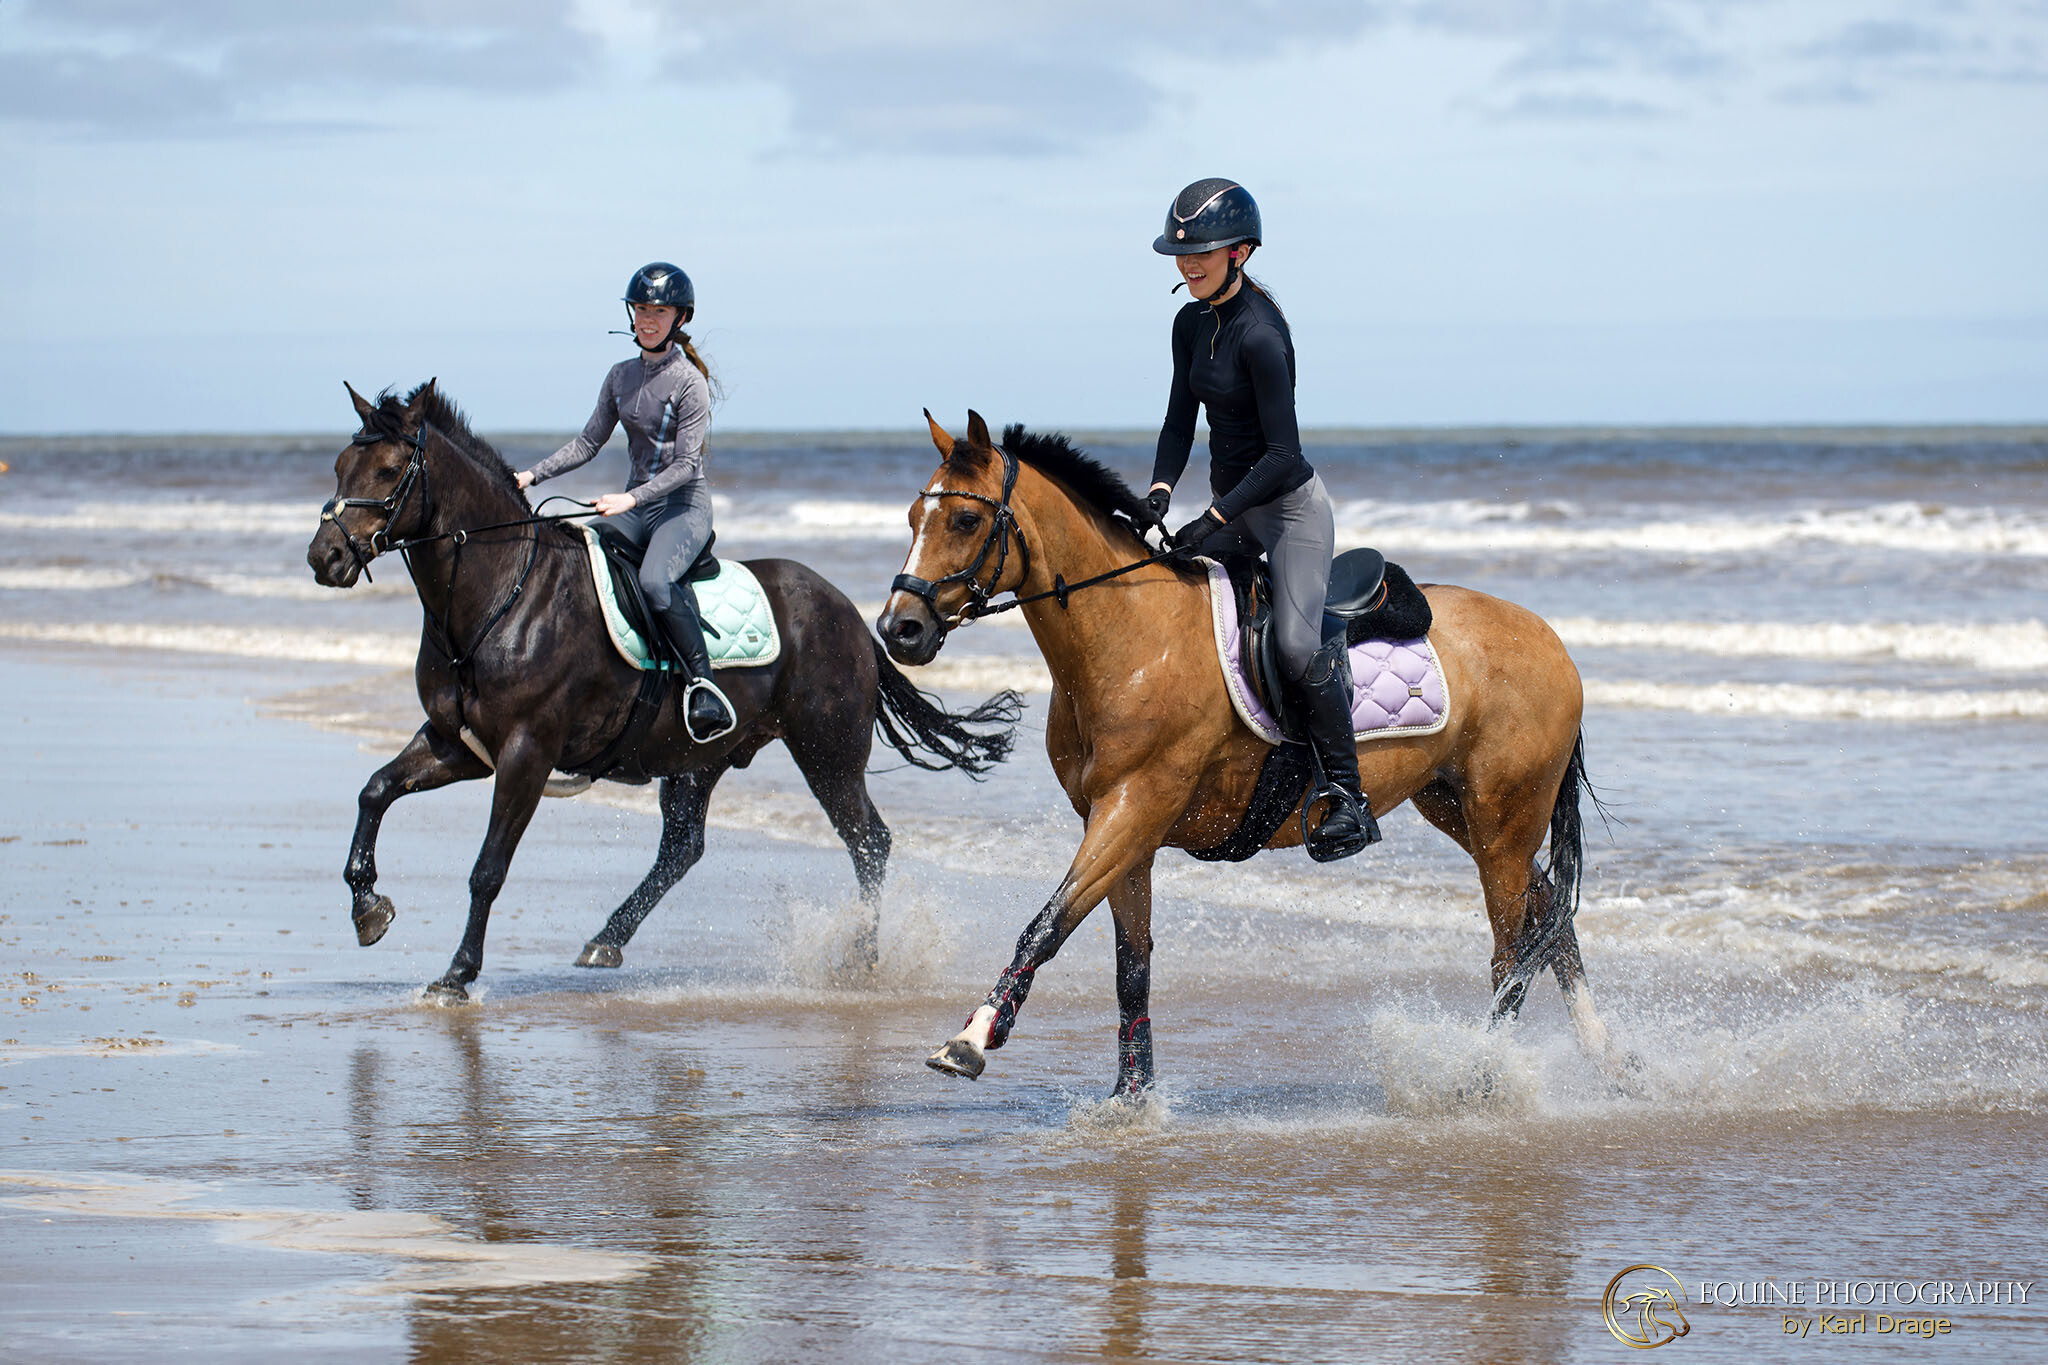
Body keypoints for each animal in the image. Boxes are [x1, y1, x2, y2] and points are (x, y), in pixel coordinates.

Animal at [305, 378, 1024, 998]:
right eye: (340, 465)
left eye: (389, 470)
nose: (324, 558)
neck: (500, 593)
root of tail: (851, 612)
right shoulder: (456, 743)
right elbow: (375, 790)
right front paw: (368, 908)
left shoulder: (526, 751)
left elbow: (489, 867)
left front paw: (456, 973)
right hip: (698, 756)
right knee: (684, 847)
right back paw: (606, 940)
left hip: (826, 751)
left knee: (868, 841)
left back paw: (864, 960)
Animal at [880, 413, 1630, 1096]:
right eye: (915, 515)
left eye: (966, 521)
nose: (898, 628)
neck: (1131, 639)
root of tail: (1552, 641)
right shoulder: (1123, 827)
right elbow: (1131, 963)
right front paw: (1131, 1100)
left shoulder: (1133, 807)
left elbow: (1048, 924)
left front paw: (971, 1039)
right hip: (1457, 806)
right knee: (1549, 918)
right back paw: (1609, 1061)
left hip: (1504, 818)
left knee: (1513, 947)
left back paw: (1482, 1075)